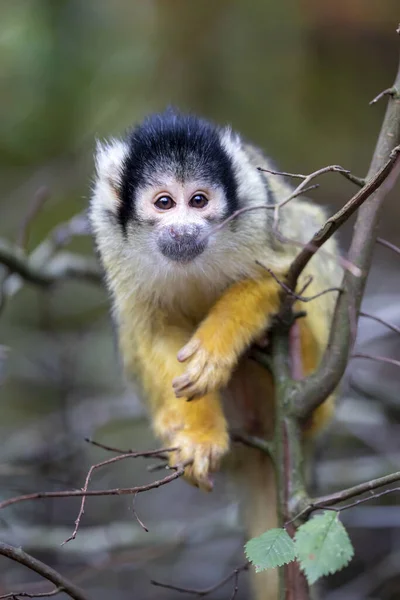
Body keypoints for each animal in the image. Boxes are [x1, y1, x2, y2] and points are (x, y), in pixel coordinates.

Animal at [89, 111, 342, 596]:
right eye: (164, 202)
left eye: (199, 200)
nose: (184, 227)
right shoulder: (111, 234)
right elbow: (154, 328)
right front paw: (198, 435)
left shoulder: (258, 212)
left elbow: (280, 273)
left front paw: (213, 350)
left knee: (305, 234)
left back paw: (298, 359)